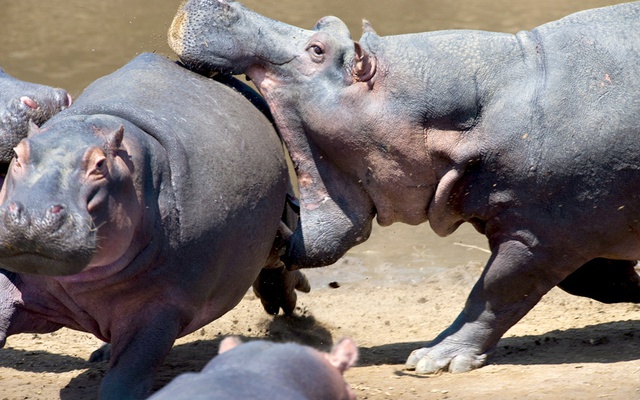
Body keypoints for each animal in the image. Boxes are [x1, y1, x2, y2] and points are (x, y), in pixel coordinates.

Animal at [0, 53, 312, 400]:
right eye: (18, 153)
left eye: (99, 164)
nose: (33, 216)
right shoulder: (16, 281)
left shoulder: (159, 311)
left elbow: (123, 381)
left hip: (276, 226)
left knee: (280, 261)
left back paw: (286, 306)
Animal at [168, 0, 640, 376]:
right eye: (325, 21)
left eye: (318, 49)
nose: (223, 3)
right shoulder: (566, 230)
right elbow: (593, 282)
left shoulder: (540, 236)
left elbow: (495, 292)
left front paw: (432, 361)